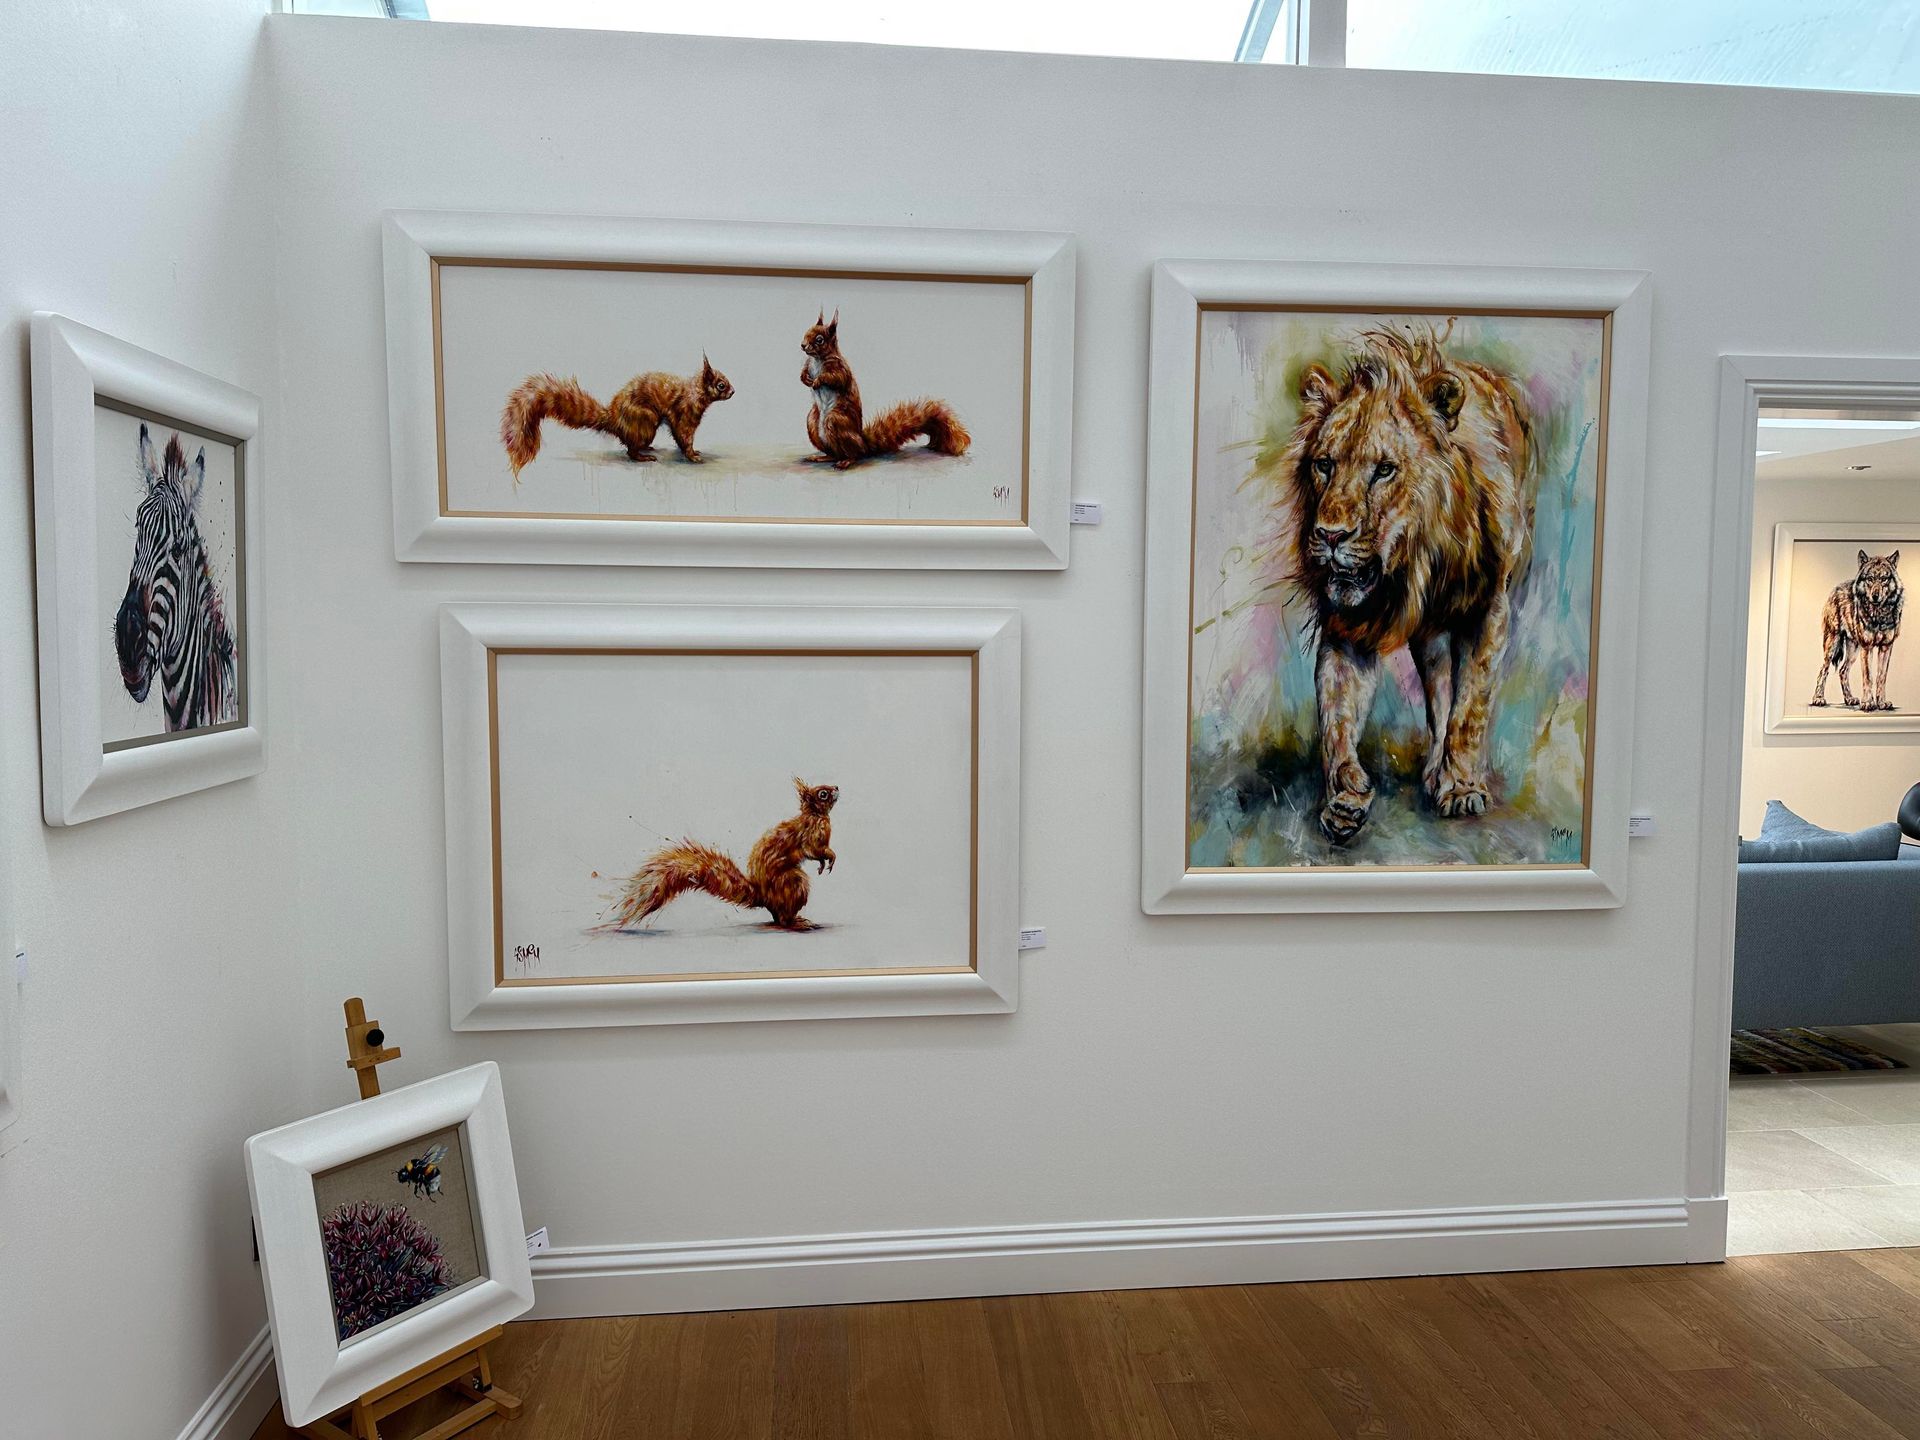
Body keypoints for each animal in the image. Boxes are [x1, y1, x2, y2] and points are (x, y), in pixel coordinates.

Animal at [1277, 323, 1536, 844]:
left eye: (1384, 470)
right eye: (1324, 464)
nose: (1330, 535)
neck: (1417, 562)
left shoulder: (1489, 609)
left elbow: (1470, 706)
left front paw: (1462, 789)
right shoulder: (1348, 624)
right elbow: (1337, 713)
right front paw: (1345, 797)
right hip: (1429, 637)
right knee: (1436, 692)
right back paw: (1433, 770)